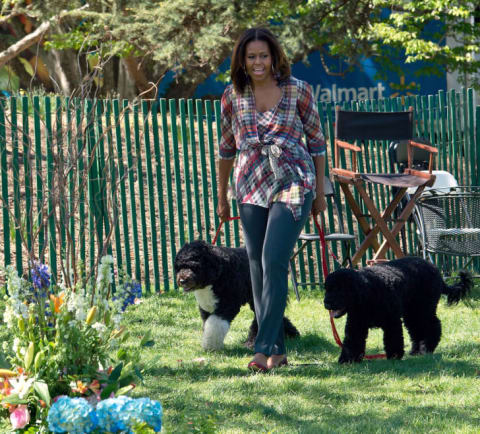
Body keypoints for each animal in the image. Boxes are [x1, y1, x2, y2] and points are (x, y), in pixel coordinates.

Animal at [322, 258, 472, 362]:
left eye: (339, 289)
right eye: (327, 288)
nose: (326, 303)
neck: (369, 292)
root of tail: (435, 269)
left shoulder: (392, 321)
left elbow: (393, 339)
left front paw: (394, 356)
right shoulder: (356, 325)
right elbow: (351, 342)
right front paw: (347, 360)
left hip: (423, 309)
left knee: (433, 325)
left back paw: (426, 348)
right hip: (412, 313)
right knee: (417, 331)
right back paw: (416, 351)